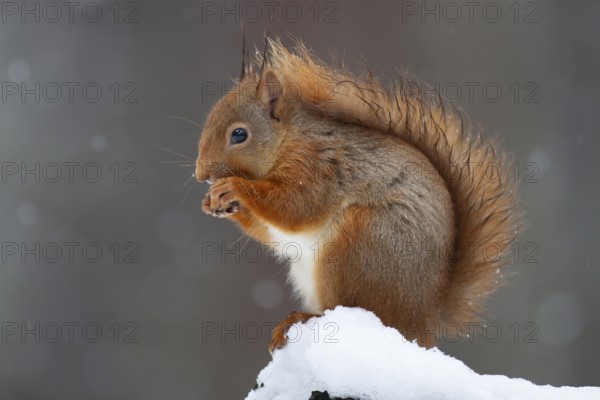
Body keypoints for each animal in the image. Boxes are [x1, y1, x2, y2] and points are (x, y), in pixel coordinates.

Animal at [193, 38, 520, 350]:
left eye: (239, 134)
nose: (201, 175)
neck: (289, 142)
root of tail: (425, 320)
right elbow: (273, 232)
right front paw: (211, 201)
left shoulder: (320, 168)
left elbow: (296, 209)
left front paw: (233, 187)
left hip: (358, 245)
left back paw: (303, 317)